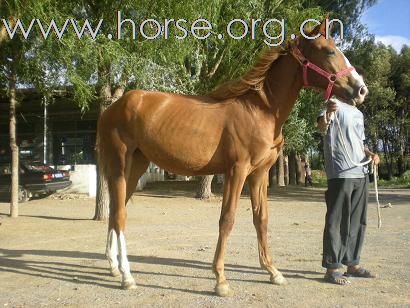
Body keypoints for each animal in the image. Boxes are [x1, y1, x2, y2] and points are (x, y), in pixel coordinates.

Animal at [97, 19, 368, 296]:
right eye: (329, 51)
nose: (361, 90)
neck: (261, 111)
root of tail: (113, 107)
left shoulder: (259, 174)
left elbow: (261, 219)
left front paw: (273, 272)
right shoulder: (237, 171)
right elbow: (227, 219)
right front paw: (221, 280)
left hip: (136, 167)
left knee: (115, 212)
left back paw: (114, 267)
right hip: (120, 164)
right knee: (119, 215)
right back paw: (127, 276)